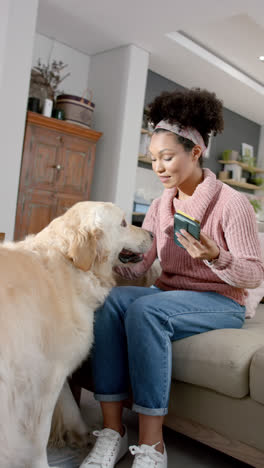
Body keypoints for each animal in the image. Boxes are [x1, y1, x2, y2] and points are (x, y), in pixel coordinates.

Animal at [0, 201, 153, 468]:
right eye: (124, 223)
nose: (153, 235)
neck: (71, 264)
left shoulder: (58, 369)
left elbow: (70, 404)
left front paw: (80, 433)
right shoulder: (44, 379)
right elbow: (38, 436)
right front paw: (39, 462)